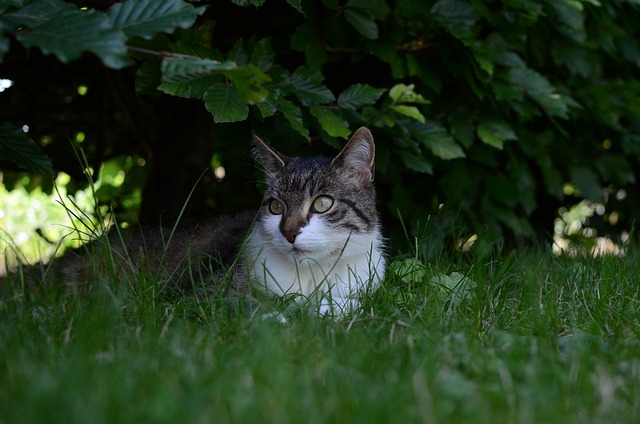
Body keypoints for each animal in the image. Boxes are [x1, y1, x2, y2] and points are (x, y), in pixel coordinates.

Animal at [3, 127, 384, 316]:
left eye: (322, 203)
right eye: (275, 207)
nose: (289, 232)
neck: (315, 275)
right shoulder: (201, 296)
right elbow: (268, 305)